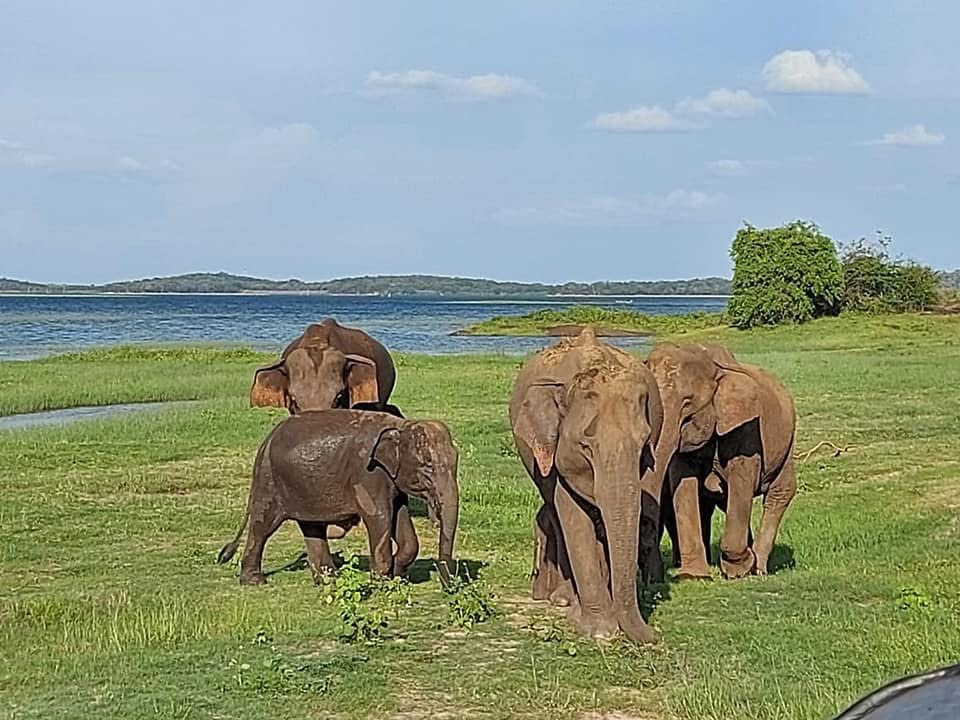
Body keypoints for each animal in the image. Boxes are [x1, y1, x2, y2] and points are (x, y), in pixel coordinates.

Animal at [217, 410, 459, 585]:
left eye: (456, 462)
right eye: (427, 466)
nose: (450, 587)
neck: (400, 426)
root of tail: (265, 442)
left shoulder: (391, 481)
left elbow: (400, 519)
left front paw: (399, 576)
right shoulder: (367, 473)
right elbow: (379, 518)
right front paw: (381, 584)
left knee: (311, 527)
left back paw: (328, 579)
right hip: (269, 480)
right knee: (263, 526)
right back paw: (254, 581)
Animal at [510, 328, 663, 645]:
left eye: (644, 443)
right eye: (584, 446)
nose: (653, 636)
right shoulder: (554, 457)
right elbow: (572, 514)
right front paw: (600, 630)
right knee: (556, 514)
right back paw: (564, 599)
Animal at [643, 342, 797, 581]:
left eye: (688, 403)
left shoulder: (746, 429)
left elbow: (741, 479)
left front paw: (738, 569)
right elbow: (683, 483)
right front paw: (693, 576)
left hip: (786, 445)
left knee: (779, 494)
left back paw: (758, 568)